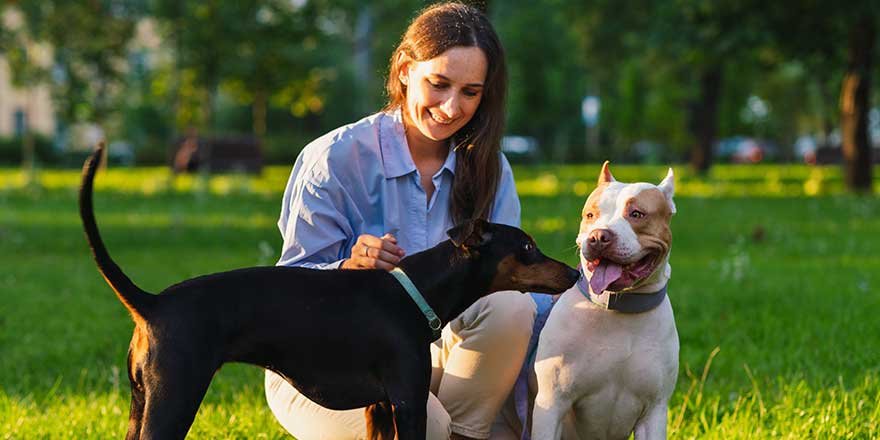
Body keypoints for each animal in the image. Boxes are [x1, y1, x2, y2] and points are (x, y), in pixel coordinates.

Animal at [79, 146, 580, 438]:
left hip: (141, 401)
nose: (575, 271)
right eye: (528, 247)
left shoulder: (379, 407)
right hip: (174, 398)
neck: (413, 290)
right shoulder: (408, 402)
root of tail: (152, 303)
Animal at [528, 162, 680, 440]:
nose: (599, 236)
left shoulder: (654, 411)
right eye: (590, 215)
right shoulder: (551, 404)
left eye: (637, 214)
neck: (618, 309)